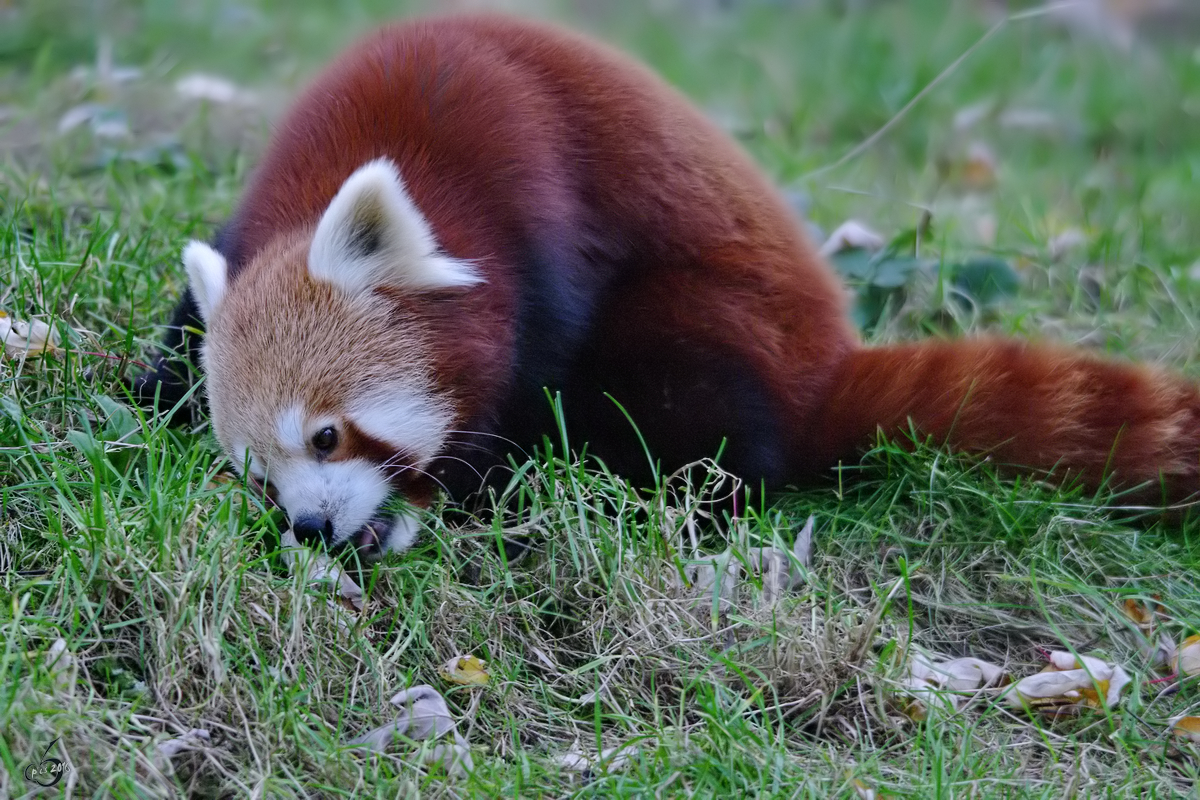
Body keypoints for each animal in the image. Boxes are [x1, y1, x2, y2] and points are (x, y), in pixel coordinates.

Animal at [136, 12, 1200, 556]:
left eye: (327, 435)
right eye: (256, 471)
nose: (312, 525)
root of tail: (826, 366)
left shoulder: (535, 204)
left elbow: (523, 379)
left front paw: (457, 493)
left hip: (706, 324)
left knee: (700, 422)